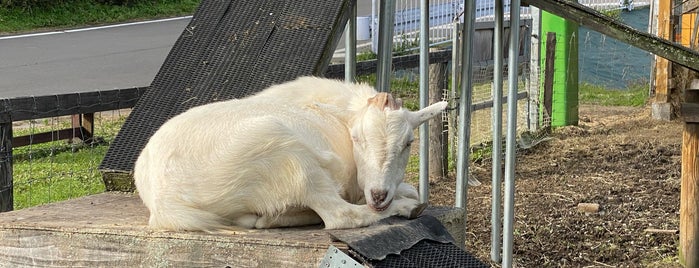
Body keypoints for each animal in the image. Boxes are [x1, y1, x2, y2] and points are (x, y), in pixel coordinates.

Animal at [134, 76, 446, 230]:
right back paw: (407, 209)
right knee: (340, 216)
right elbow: (409, 192)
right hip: (290, 159)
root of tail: (164, 201)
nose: (379, 195)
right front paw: (405, 201)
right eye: (356, 138)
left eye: (408, 143)